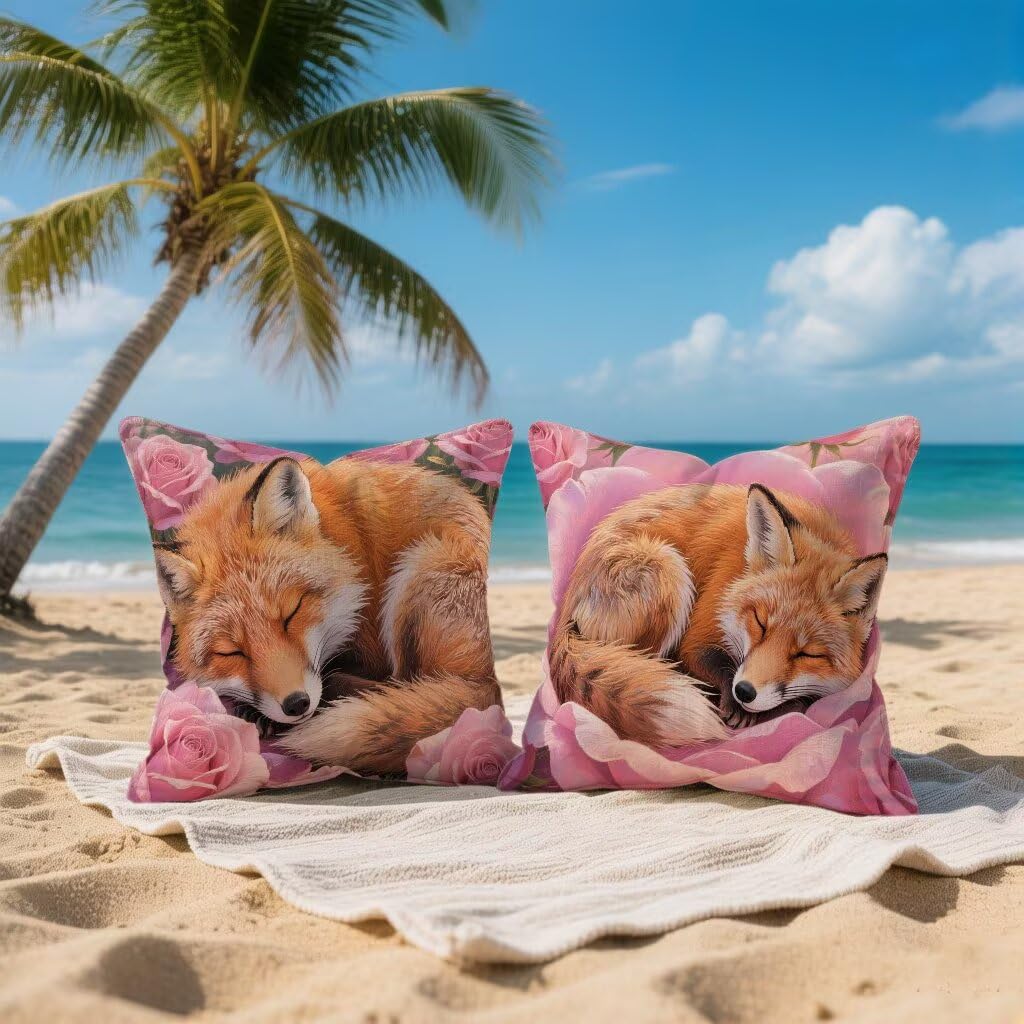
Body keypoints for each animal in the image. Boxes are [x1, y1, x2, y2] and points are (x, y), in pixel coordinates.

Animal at [154, 454, 502, 776]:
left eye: (292, 613)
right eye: (231, 652)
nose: (296, 704)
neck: (343, 539)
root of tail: (485, 690)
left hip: (421, 566)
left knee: (403, 685)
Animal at [549, 482, 887, 746]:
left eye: (808, 654)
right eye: (760, 623)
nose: (744, 692)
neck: (741, 567)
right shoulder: (701, 625)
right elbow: (707, 657)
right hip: (668, 570)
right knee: (649, 660)